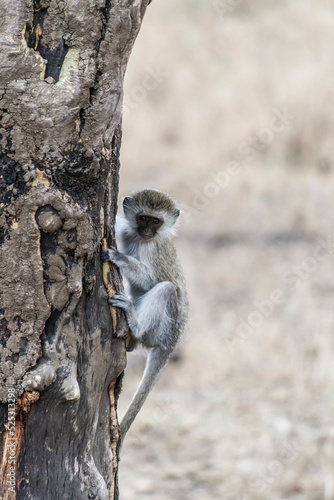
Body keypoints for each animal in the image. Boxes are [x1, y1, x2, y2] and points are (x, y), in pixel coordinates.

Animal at [102, 188, 188, 446]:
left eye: (156, 221)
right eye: (143, 218)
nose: (148, 230)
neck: (143, 240)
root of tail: (171, 344)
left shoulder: (152, 250)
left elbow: (152, 281)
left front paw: (120, 258)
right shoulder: (126, 228)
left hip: (164, 329)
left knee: (167, 289)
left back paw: (135, 324)